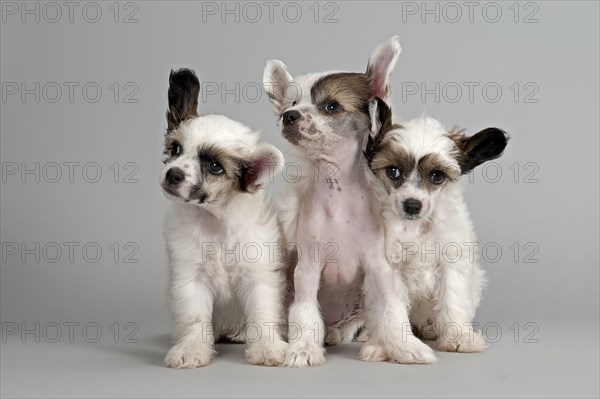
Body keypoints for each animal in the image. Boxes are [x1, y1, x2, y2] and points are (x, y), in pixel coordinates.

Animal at [262, 36, 436, 368]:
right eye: (291, 104)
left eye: (331, 106)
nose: (289, 116)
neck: (336, 197)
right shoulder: (307, 270)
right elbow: (305, 313)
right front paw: (304, 349)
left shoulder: (379, 269)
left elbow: (392, 311)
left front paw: (406, 347)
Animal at [366, 100, 506, 354]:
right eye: (393, 171)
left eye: (436, 176)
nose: (412, 205)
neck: (415, 228)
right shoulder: (387, 268)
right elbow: (389, 308)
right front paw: (387, 345)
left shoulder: (452, 259)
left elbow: (453, 298)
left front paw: (459, 337)